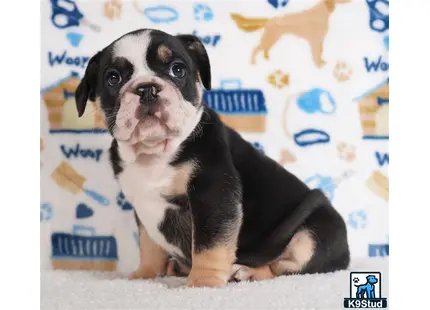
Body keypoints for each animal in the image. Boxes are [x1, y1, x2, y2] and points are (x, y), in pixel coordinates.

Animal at [74, 29, 350, 288]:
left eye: (178, 70)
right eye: (113, 78)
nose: (147, 88)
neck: (154, 154)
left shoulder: (213, 195)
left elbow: (209, 244)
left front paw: (203, 282)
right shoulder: (143, 207)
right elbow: (149, 245)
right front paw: (145, 275)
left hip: (314, 233)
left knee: (284, 266)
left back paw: (247, 271)